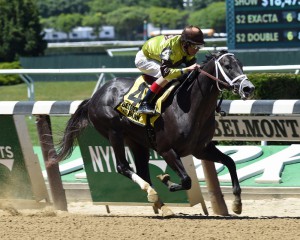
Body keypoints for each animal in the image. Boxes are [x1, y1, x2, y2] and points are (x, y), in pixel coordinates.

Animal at [54, 49, 253, 217]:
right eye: (227, 66)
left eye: (241, 65)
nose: (248, 88)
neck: (189, 108)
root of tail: (94, 96)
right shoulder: (167, 150)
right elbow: (186, 180)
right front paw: (167, 180)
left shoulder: (201, 149)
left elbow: (230, 162)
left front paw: (237, 203)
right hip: (114, 132)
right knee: (123, 167)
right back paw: (152, 193)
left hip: (136, 141)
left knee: (142, 171)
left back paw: (161, 205)